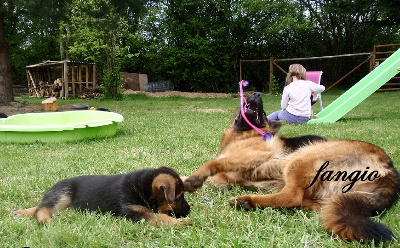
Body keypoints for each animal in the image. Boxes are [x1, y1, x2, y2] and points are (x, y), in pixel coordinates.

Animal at [184, 92, 400, 241]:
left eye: (263, 113)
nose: (257, 94)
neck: (244, 135)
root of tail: (391, 169)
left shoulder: (251, 156)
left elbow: (213, 162)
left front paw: (195, 177)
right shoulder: (226, 177)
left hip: (302, 157)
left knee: (291, 196)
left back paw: (247, 200)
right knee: (310, 204)